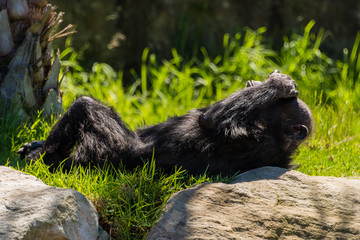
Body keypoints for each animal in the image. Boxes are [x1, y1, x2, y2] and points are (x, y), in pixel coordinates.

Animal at [18, 70, 312, 175]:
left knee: (85, 107)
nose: (254, 82)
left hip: (102, 157)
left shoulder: (254, 139)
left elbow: (212, 120)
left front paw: (280, 83)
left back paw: (44, 158)